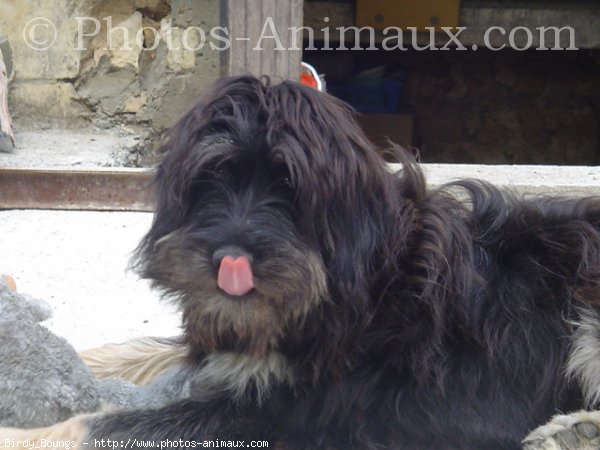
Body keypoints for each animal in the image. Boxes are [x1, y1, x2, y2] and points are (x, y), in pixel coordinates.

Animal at [84, 75, 600, 448]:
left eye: (289, 187)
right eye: (213, 177)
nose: (229, 260)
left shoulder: (299, 414)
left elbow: (134, 424)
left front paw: (75, 425)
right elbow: (161, 347)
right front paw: (93, 357)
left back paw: (574, 431)